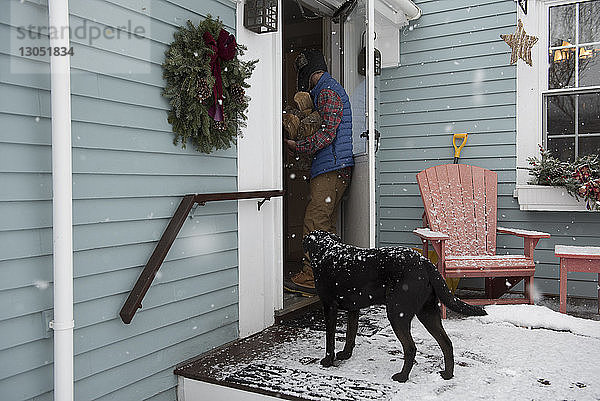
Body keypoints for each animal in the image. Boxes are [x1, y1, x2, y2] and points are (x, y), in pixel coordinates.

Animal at [304, 228, 488, 382]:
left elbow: (330, 338)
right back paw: (448, 374)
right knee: (446, 343)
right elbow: (350, 334)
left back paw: (402, 377)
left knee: (411, 347)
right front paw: (346, 354)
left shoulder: (329, 306)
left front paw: (328, 360)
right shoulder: (354, 308)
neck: (327, 251)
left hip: (397, 312)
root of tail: (424, 262)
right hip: (427, 312)